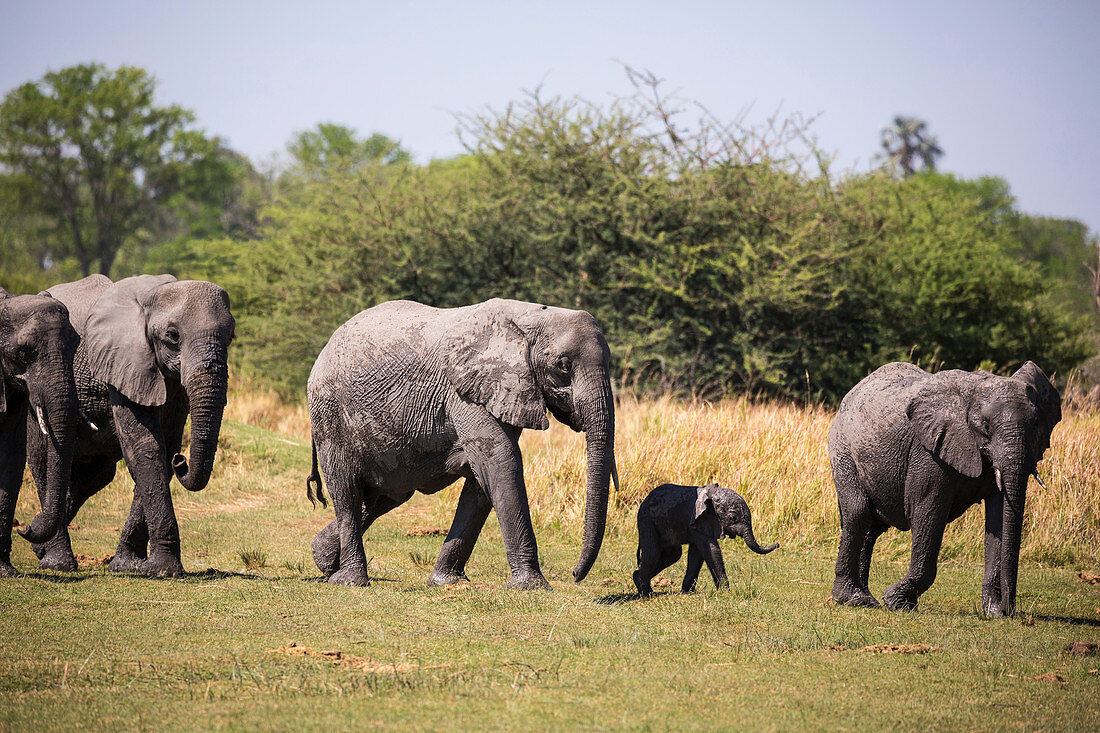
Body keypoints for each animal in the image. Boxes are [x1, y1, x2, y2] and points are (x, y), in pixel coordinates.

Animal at [25, 270, 234, 572]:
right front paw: (164, 570)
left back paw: (37, 541)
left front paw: (128, 565)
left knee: (95, 476)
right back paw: (56, 561)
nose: (183, 461)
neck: (154, 294)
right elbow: (145, 445)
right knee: (43, 459)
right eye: (172, 336)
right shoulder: (121, 362)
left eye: (231, 336)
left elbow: (164, 446)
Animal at [310, 297, 620, 589]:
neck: (528, 317)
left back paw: (323, 561)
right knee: (347, 491)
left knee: (384, 495)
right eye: (563, 366)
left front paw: (447, 582)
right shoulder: (465, 393)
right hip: (329, 416)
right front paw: (531, 586)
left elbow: (482, 480)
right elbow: (502, 462)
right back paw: (350, 580)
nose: (575, 574)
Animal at [633, 482, 778, 598]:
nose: (777, 543)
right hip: (646, 519)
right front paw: (726, 593)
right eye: (733, 517)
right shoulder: (697, 519)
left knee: (673, 555)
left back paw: (637, 579)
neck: (712, 494)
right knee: (653, 553)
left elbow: (697, 554)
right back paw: (646, 592)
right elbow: (711, 550)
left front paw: (688, 592)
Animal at [831, 358, 1056, 616]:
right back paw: (853, 599)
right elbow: (928, 512)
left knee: (872, 526)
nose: (1009, 609)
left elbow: (999, 516)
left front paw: (993, 612)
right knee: (858, 513)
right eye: (986, 426)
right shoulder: (929, 451)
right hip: (842, 448)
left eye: (1037, 424)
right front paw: (897, 602)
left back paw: (867, 598)